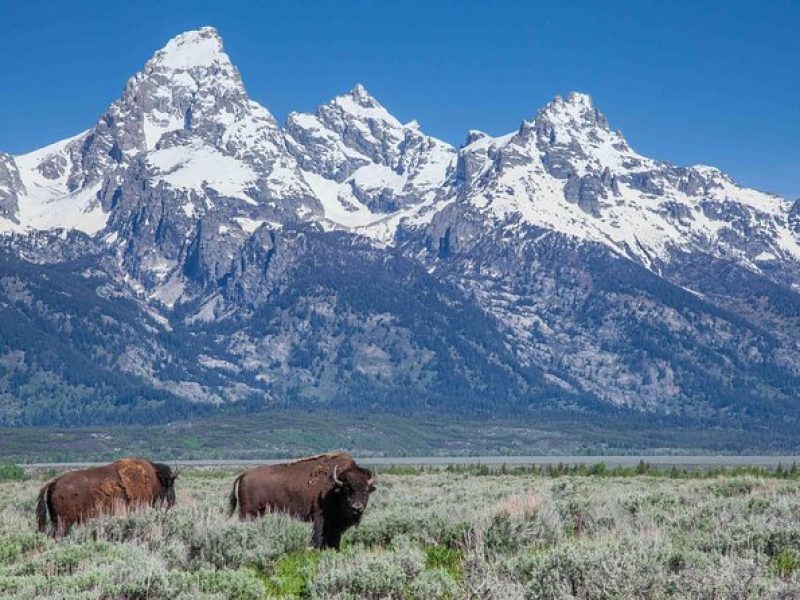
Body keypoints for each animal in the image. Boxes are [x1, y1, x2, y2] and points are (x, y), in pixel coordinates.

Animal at [227, 452, 374, 552]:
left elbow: (334, 540)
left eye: (366, 491)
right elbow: (318, 537)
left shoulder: (336, 525)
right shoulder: (319, 517)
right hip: (247, 512)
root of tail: (245, 474)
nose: (357, 508)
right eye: (347, 489)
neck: (335, 487)